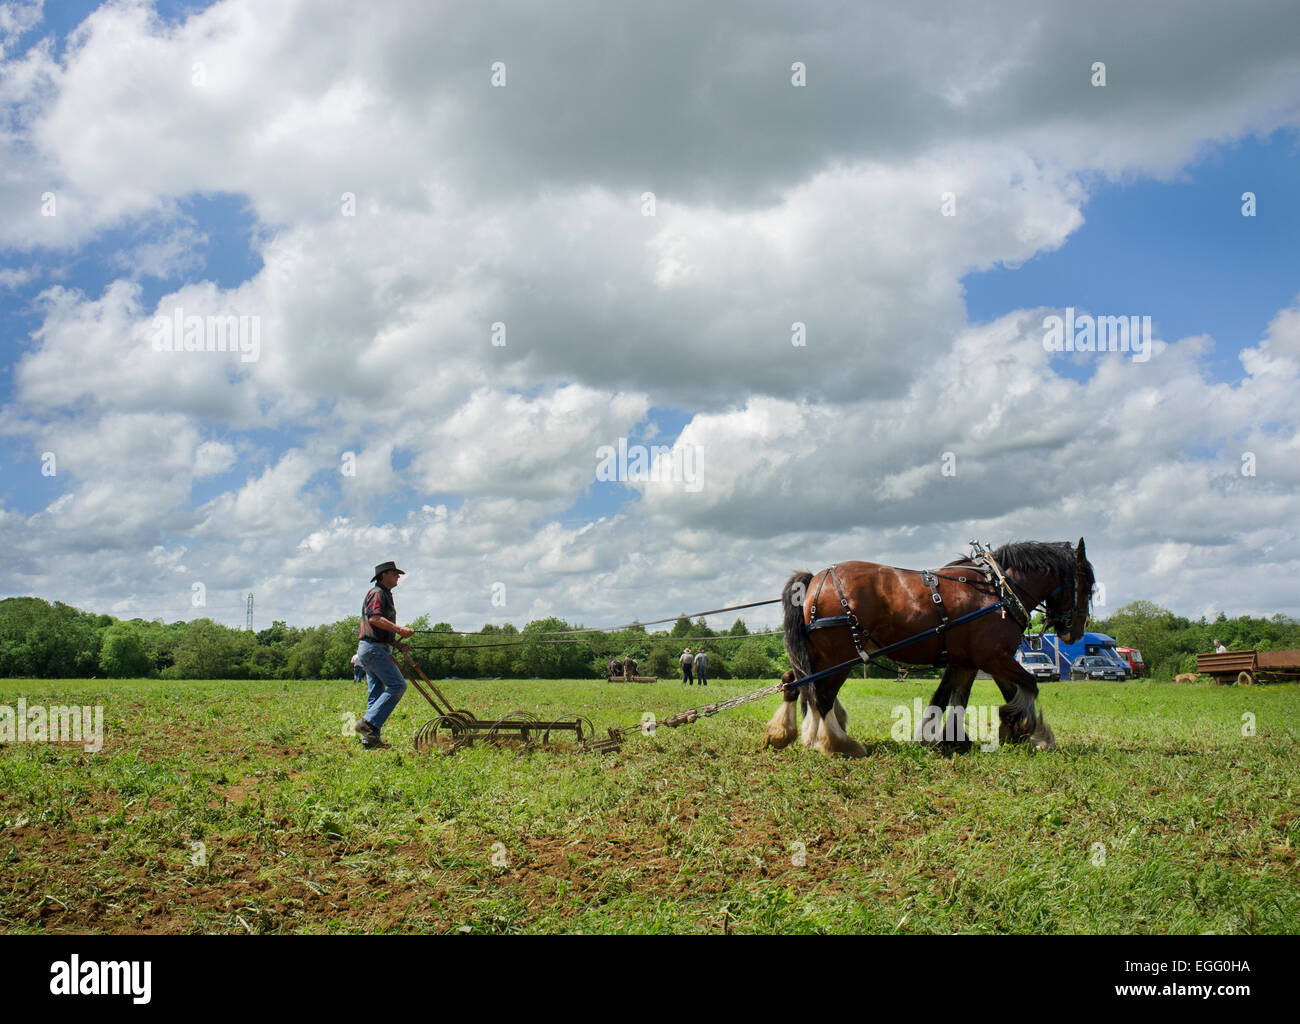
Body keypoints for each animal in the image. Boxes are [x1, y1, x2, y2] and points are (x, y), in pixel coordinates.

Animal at [762, 539, 1094, 757]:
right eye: (1088, 584)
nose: (1075, 632)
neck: (999, 591)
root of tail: (814, 580)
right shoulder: (993, 656)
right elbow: (1028, 684)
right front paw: (1034, 731)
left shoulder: (968, 661)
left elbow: (952, 697)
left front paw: (950, 738)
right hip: (839, 654)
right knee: (822, 695)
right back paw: (837, 743)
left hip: (820, 655)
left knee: (794, 681)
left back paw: (784, 732)